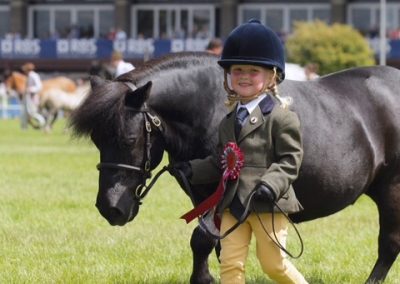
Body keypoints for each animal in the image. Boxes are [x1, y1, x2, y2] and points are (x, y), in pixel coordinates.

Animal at [69, 52, 400, 282]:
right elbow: (216, 246)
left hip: (391, 189)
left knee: (389, 244)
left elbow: (202, 240)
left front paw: (203, 278)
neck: (210, 107)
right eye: (97, 139)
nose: (110, 208)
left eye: (129, 139)